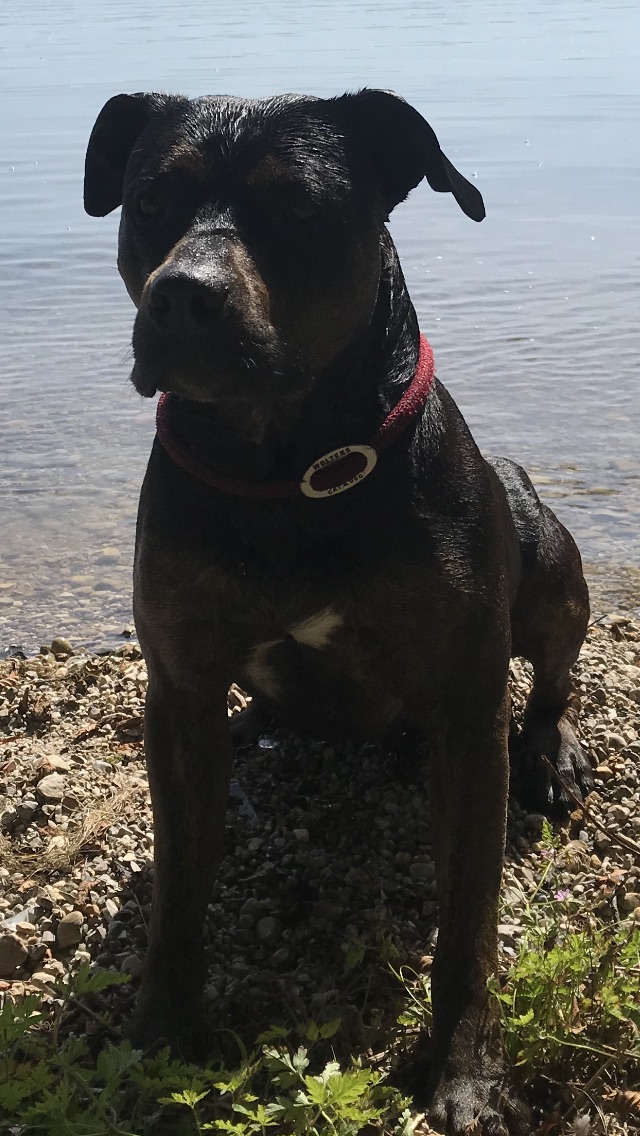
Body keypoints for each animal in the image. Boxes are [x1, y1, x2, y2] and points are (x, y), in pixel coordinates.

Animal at [84, 89, 593, 1134]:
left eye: (298, 207)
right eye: (151, 199)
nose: (182, 293)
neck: (285, 469)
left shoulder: (467, 705)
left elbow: (468, 921)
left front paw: (463, 1069)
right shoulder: (180, 689)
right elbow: (179, 889)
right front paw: (160, 1030)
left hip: (548, 560)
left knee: (555, 668)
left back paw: (552, 751)